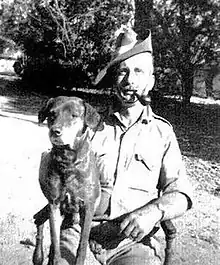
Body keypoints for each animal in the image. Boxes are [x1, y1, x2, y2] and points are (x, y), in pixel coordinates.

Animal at [32, 96, 104, 264]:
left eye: (74, 115)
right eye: (52, 114)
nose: (55, 131)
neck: (68, 163)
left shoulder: (88, 206)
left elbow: (82, 244)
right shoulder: (54, 204)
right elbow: (55, 240)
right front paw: (55, 259)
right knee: (38, 218)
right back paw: (38, 255)